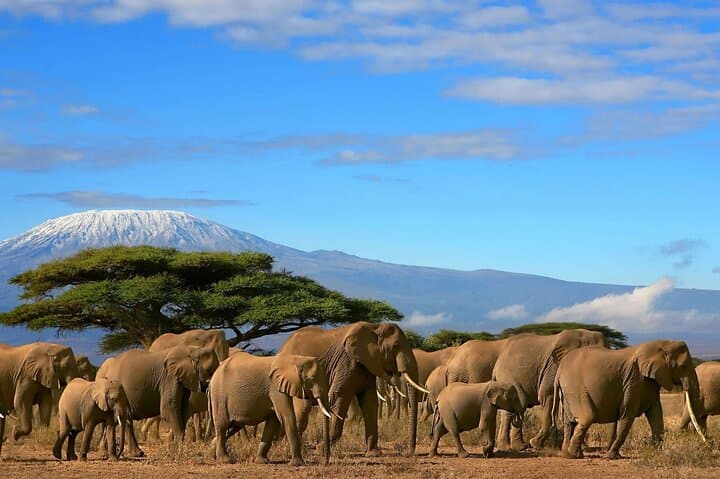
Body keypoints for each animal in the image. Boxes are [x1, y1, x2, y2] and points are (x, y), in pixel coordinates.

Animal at [278, 322, 428, 455]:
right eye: (396, 346)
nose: (409, 453)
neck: (375, 327)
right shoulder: (347, 362)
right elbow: (339, 396)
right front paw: (321, 449)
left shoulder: (367, 365)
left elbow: (369, 402)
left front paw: (373, 453)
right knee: (302, 411)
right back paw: (289, 449)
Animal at [555, 340, 703, 459]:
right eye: (683, 366)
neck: (663, 344)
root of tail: (559, 370)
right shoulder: (633, 380)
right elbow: (627, 414)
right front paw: (612, 457)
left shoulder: (650, 382)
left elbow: (656, 414)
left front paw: (658, 453)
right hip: (575, 387)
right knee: (587, 417)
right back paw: (574, 455)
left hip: (568, 391)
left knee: (569, 422)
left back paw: (567, 455)